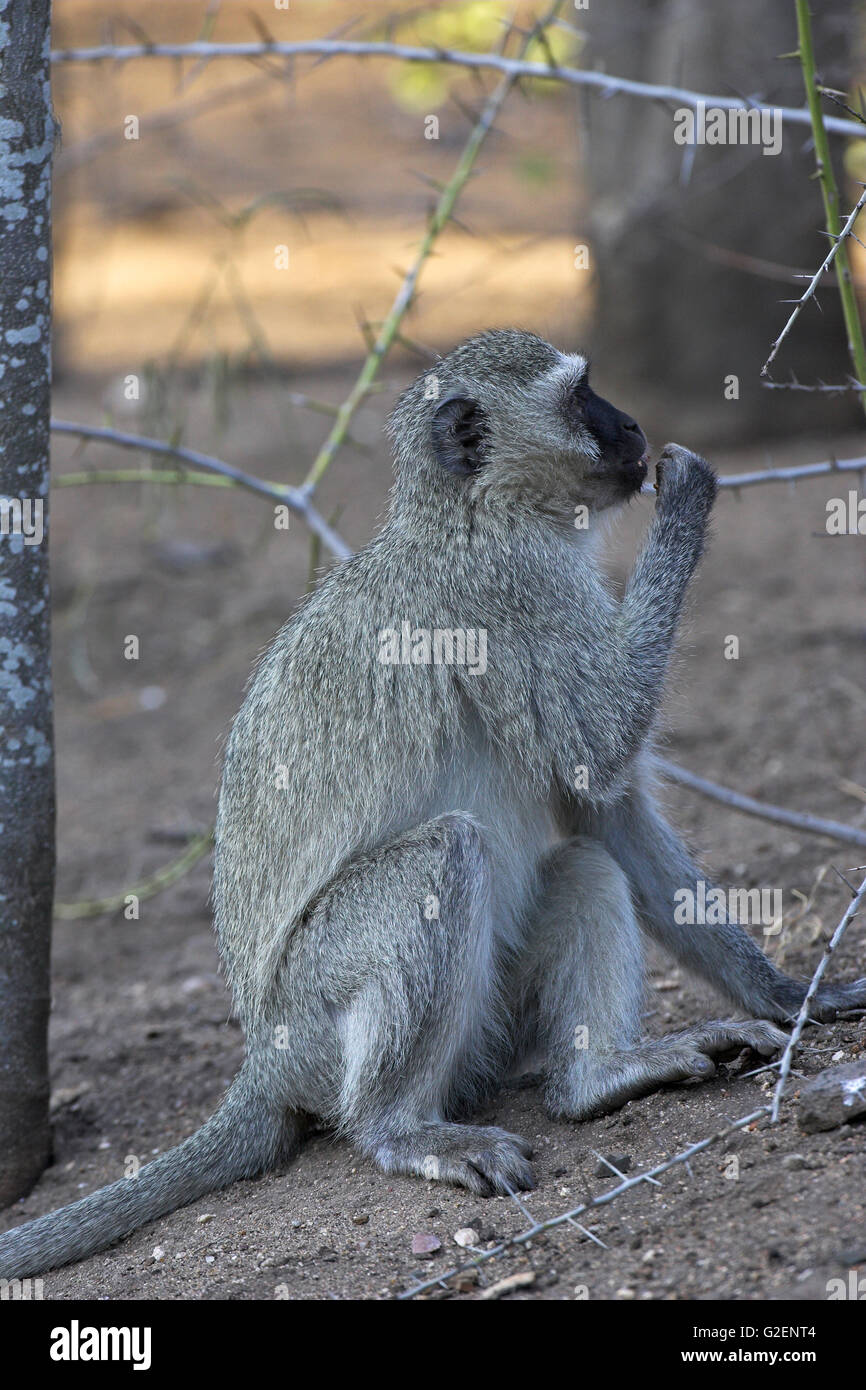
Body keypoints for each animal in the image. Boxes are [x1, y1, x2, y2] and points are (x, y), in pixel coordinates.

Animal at [2, 328, 864, 1279]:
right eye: (582, 397)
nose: (634, 425)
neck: (473, 513)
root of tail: (264, 1063)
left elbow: (604, 810)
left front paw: (789, 993)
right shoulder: (515, 590)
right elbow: (598, 751)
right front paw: (688, 496)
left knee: (582, 866)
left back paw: (599, 1077)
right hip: (315, 1018)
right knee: (445, 853)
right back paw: (404, 1130)